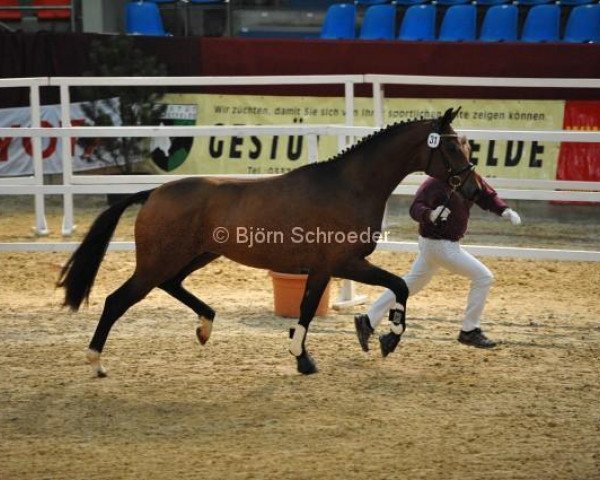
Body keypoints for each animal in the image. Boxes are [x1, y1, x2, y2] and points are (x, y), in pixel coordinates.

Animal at [56, 107, 478, 376]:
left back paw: (205, 325)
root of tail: (154, 192)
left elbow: (310, 309)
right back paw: (96, 363)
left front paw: (305, 357)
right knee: (117, 301)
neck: (350, 187)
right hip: (160, 261)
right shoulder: (342, 263)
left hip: (197, 255)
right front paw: (386, 340)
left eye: (467, 147)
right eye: (451, 148)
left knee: (171, 284)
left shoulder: (324, 269)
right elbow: (397, 285)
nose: (473, 189)